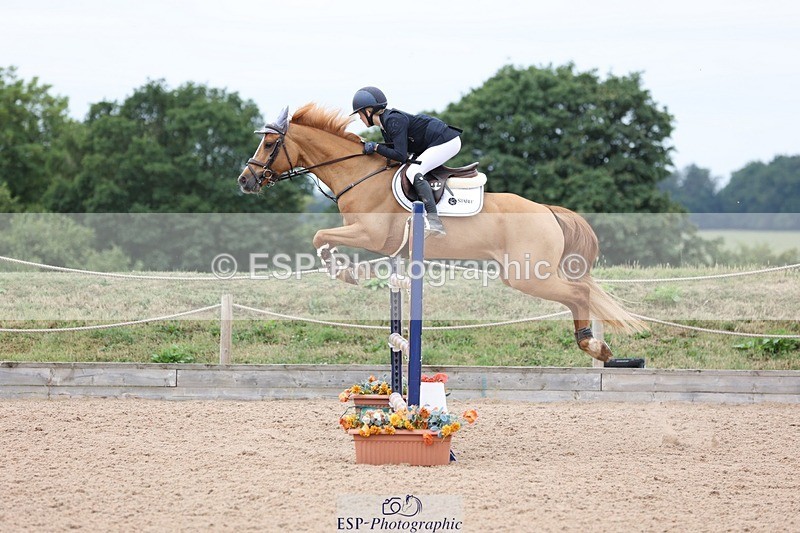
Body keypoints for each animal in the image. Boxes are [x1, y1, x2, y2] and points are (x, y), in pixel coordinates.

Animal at [237, 103, 645, 361]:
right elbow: (323, 238)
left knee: (578, 293)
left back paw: (594, 346)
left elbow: (321, 237)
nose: (245, 180)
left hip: (529, 274)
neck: (358, 173)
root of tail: (548, 211)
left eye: (270, 143)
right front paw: (346, 271)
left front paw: (344, 273)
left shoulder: (369, 235)